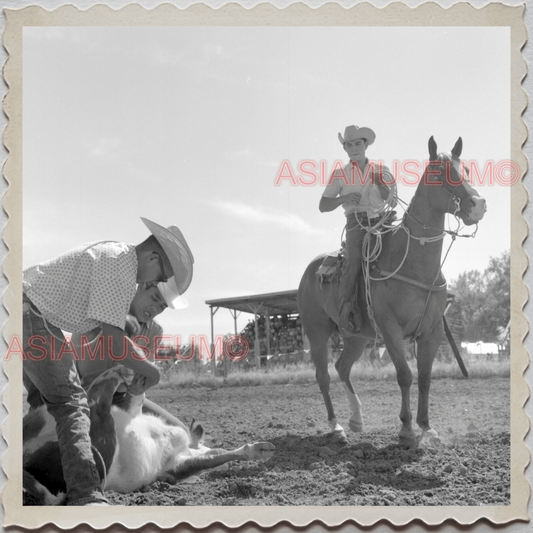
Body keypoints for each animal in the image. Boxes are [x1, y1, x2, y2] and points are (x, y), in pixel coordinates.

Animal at [23, 366, 274, 502]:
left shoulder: (174, 464)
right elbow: (217, 455)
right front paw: (263, 448)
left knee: (96, 397)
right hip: (103, 438)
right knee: (98, 396)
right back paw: (119, 372)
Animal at [298, 137, 488, 444]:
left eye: (467, 169)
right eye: (438, 173)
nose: (478, 205)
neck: (413, 264)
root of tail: (310, 271)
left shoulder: (432, 331)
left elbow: (424, 377)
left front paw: (426, 427)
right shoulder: (390, 328)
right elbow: (405, 375)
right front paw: (406, 428)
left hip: (356, 336)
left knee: (342, 367)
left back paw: (357, 419)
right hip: (317, 330)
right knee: (323, 375)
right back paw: (336, 427)